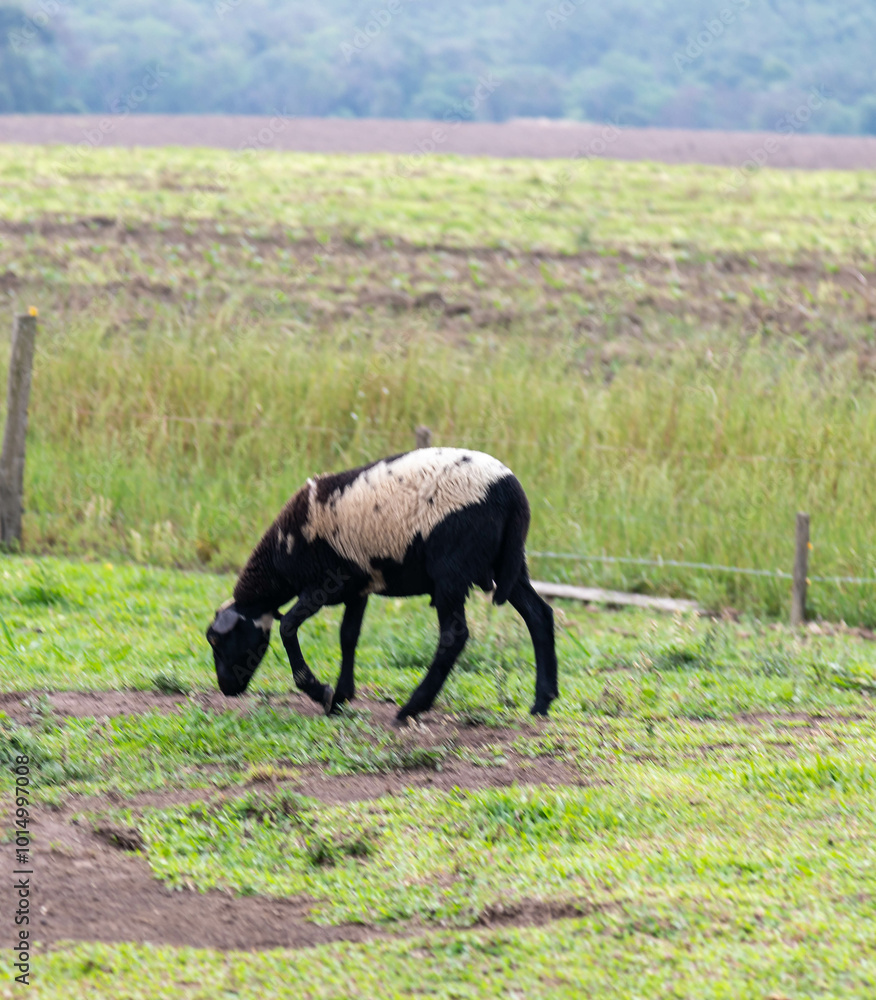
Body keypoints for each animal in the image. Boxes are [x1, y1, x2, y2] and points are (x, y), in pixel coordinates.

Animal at [206, 447, 558, 722]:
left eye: (219, 642)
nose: (226, 688)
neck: (283, 553)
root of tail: (512, 492)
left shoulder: (325, 584)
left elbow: (288, 626)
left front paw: (320, 691)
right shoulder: (357, 587)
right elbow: (348, 636)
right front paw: (341, 697)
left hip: (452, 569)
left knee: (454, 636)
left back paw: (412, 708)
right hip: (506, 563)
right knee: (539, 615)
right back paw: (542, 702)